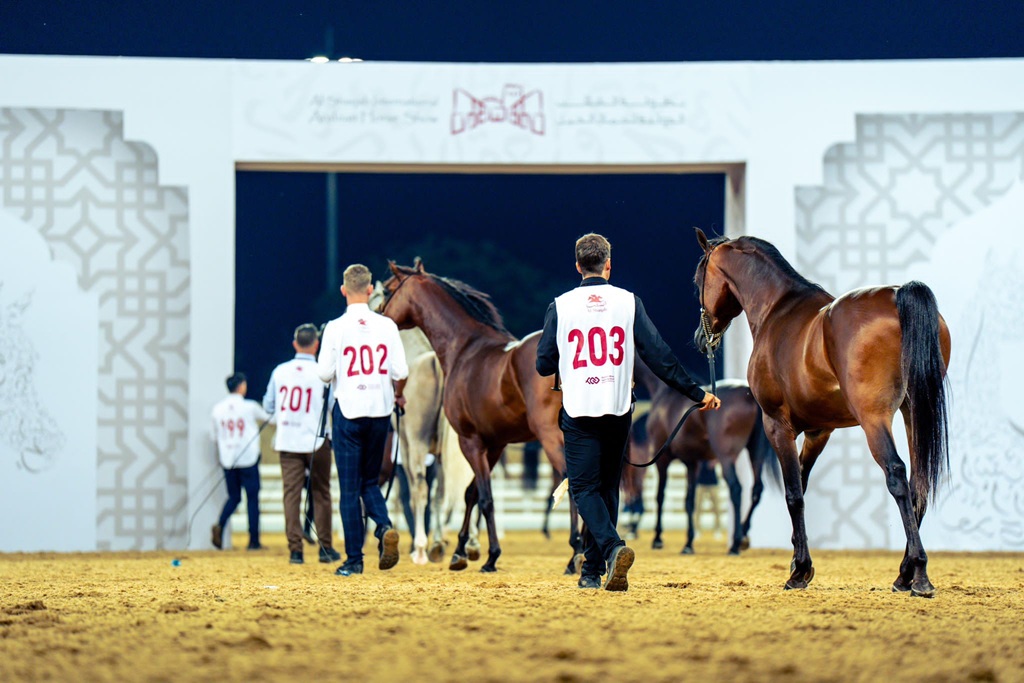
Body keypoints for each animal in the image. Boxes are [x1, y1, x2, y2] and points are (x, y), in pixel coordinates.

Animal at [382, 260, 581, 573]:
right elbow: (471, 494)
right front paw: (460, 550)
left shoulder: (470, 441)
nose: (378, 317)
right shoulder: (494, 444)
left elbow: (484, 498)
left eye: (388, 290)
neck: (465, 348)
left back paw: (576, 555)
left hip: (551, 437)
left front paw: (490, 556)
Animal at [631, 359, 779, 555]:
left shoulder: (662, 459)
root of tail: (749, 395)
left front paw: (657, 539)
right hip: (756, 451)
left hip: (726, 456)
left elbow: (660, 496)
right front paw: (688, 543)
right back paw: (744, 536)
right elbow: (689, 500)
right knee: (756, 489)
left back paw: (735, 544)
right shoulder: (692, 462)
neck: (665, 392)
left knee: (736, 488)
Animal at [692, 228, 951, 597]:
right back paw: (904, 575)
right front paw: (797, 563)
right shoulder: (819, 431)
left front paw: (799, 571)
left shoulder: (777, 425)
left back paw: (919, 576)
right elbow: (801, 483)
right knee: (919, 485)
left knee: (897, 475)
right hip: (913, 412)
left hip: (875, 419)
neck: (777, 310)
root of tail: (899, 294)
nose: (702, 338)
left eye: (697, 279)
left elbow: (793, 494)